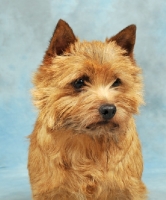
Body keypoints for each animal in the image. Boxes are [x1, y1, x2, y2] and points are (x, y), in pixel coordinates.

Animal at [27, 19, 147, 200]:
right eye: (79, 82)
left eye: (116, 82)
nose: (109, 109)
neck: (89, 142)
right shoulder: (49, 190)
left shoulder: (130, 188)